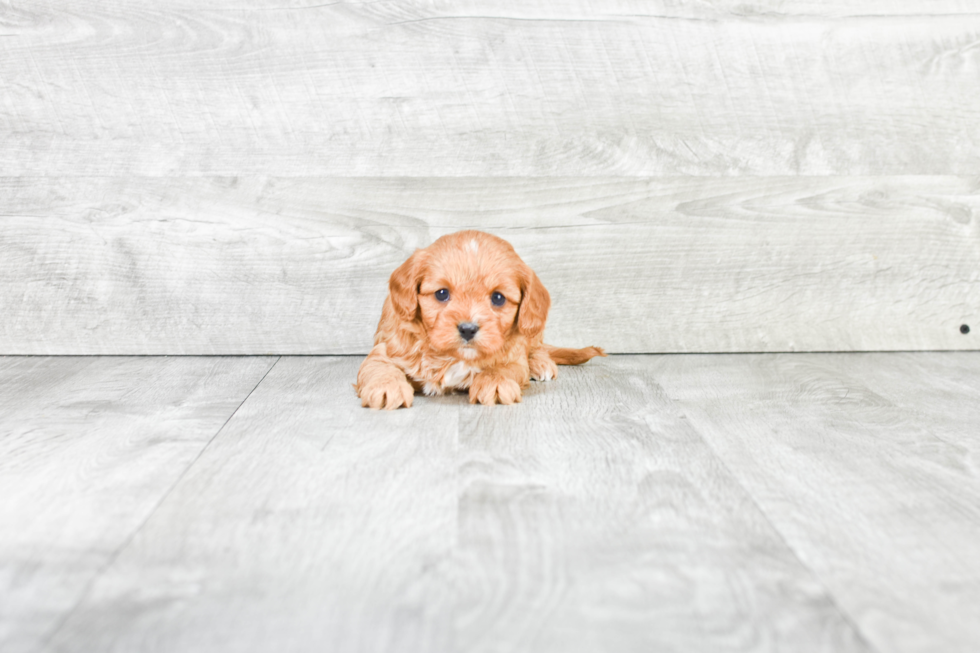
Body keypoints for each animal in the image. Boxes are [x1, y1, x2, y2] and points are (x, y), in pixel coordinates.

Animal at [356, 230, 604, 408]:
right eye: (441, 293)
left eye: (498, 298)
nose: (468, 329)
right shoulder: (385, 349)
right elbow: (379, 366)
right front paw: (386, 387)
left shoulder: (513, 357)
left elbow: (506, 367)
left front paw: (494, 382)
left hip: (533, 332)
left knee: (537, 347)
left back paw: (541, 363)